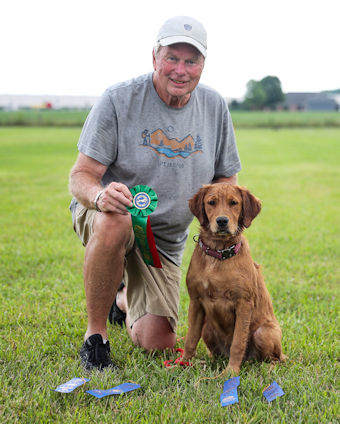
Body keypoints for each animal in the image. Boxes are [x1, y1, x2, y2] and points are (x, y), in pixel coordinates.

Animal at [182, 183, 286, 374]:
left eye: (234, 203)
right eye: (211, 202)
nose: (222, 221)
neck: (218, 255)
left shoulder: (243, 304)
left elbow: (238, 343)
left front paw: (231, 372)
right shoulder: (196, 301)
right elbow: (191, 338)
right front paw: (183, 363)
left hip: (264, 333)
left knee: (276, 359)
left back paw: (268, 367)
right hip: (207, 328)